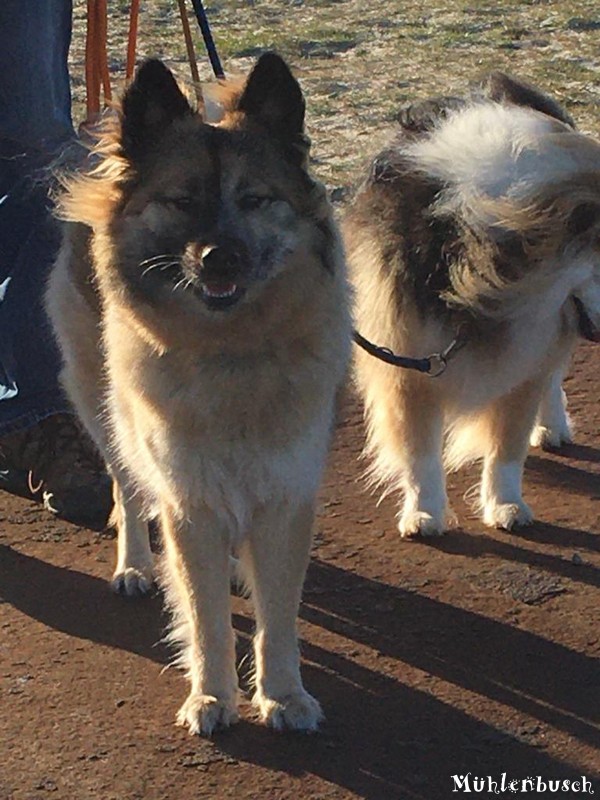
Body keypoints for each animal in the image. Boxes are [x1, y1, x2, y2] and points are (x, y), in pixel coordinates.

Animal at [344, 75, 600, 536]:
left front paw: (506, 504)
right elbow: (420, 455)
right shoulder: (406, 360)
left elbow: (506, 448)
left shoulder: (525, 355)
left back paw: (551, 424)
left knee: (552, 377)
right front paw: (424, 513)